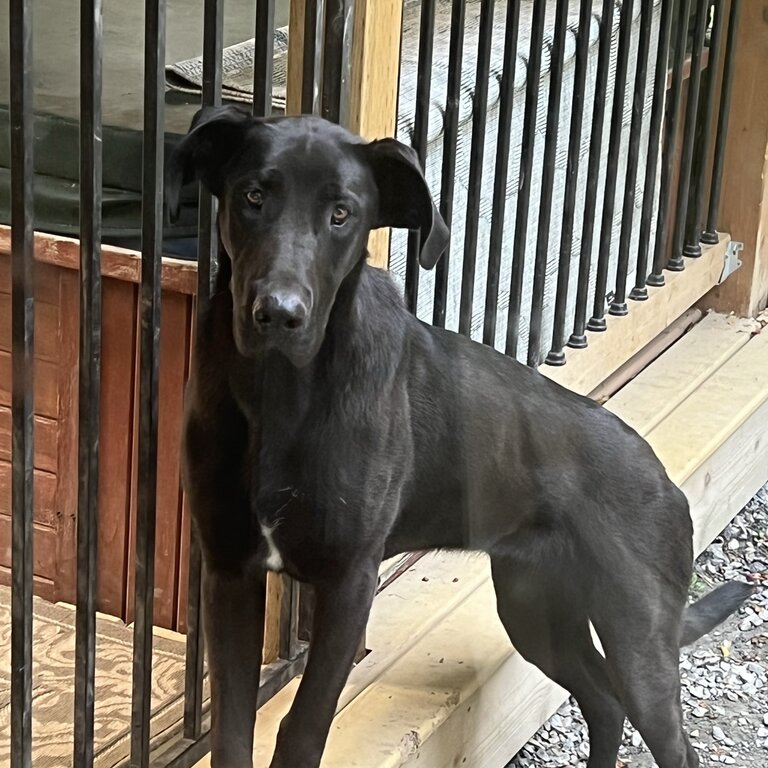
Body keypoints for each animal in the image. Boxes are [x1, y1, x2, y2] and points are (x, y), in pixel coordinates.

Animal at [166, 106, 752, 768]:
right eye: (253, 197)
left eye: (342, 213)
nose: (279, 314)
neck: (278, 394)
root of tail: (664, 480)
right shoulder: (229, 573)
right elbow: (231, 731)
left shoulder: (348, 586)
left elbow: (302, 728)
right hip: (536, 610)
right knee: (603, 702)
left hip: (637, 638)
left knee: (665, 736)